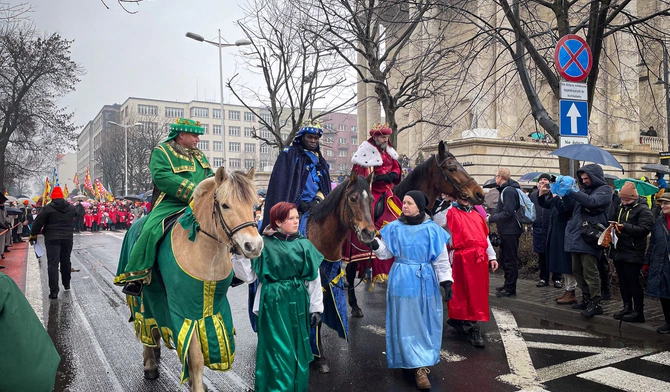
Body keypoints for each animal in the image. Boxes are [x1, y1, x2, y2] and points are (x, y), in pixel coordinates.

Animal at [122, 167, 264, 390]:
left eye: (255, 206)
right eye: (225, 205)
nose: (254, 246)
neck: (204, 251)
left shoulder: (214, 309)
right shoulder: (188, 312)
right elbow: (196, 356)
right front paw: (196, 385)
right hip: (141, 297)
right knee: (145, 323)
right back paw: (151, 363)